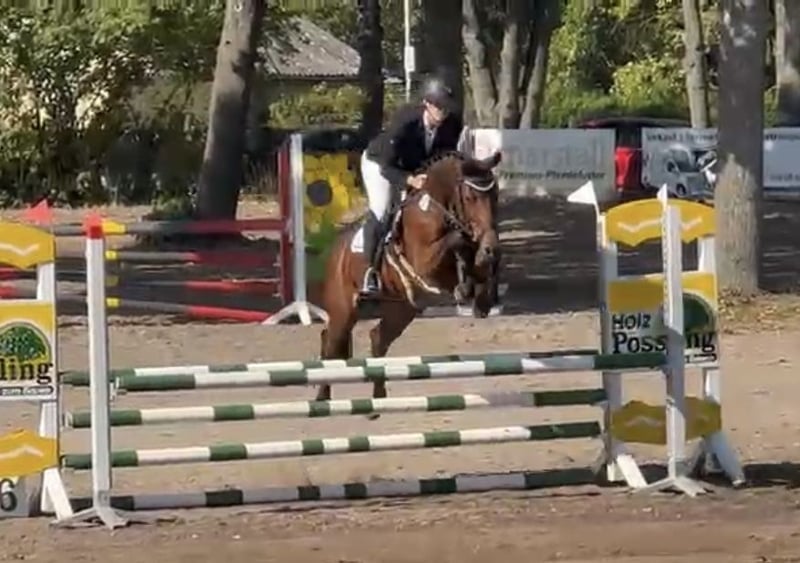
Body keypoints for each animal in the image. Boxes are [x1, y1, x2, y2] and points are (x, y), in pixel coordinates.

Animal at [316, 150, 502, 401]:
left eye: (495, 195)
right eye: (470, 197)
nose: (492, 248)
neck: (436, 209)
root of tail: (335, 250)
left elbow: (477, 265)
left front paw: (481, 299)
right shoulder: (425, 264)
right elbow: (456, 241)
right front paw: (465, 288)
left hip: (401, 309)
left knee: (377, 338)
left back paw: (379, 398)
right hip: (343, 311)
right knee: (331, 344)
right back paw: (322, 398)